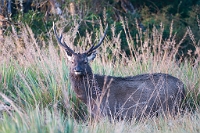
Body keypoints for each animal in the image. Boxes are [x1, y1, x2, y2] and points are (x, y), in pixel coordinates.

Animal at [53, 23, 186, 120]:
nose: (78, 70)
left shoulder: (107, 113)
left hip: (169, 108)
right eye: (72, 61)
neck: (92, 97)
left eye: (85, 61)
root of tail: (183, 86)